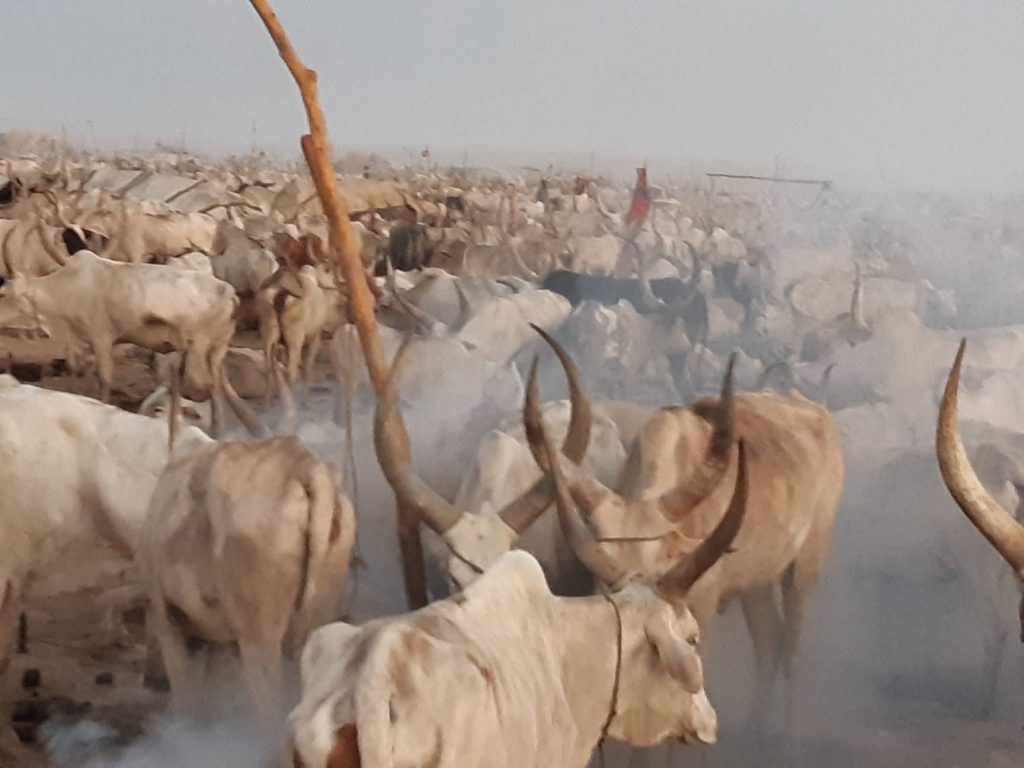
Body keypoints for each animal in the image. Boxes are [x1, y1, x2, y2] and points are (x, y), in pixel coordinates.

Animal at [140, 436, 357, 723]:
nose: (151, 680)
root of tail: (307, 468)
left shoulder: (165, 615)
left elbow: (187, 698)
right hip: (324, 606)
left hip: (257, 632)